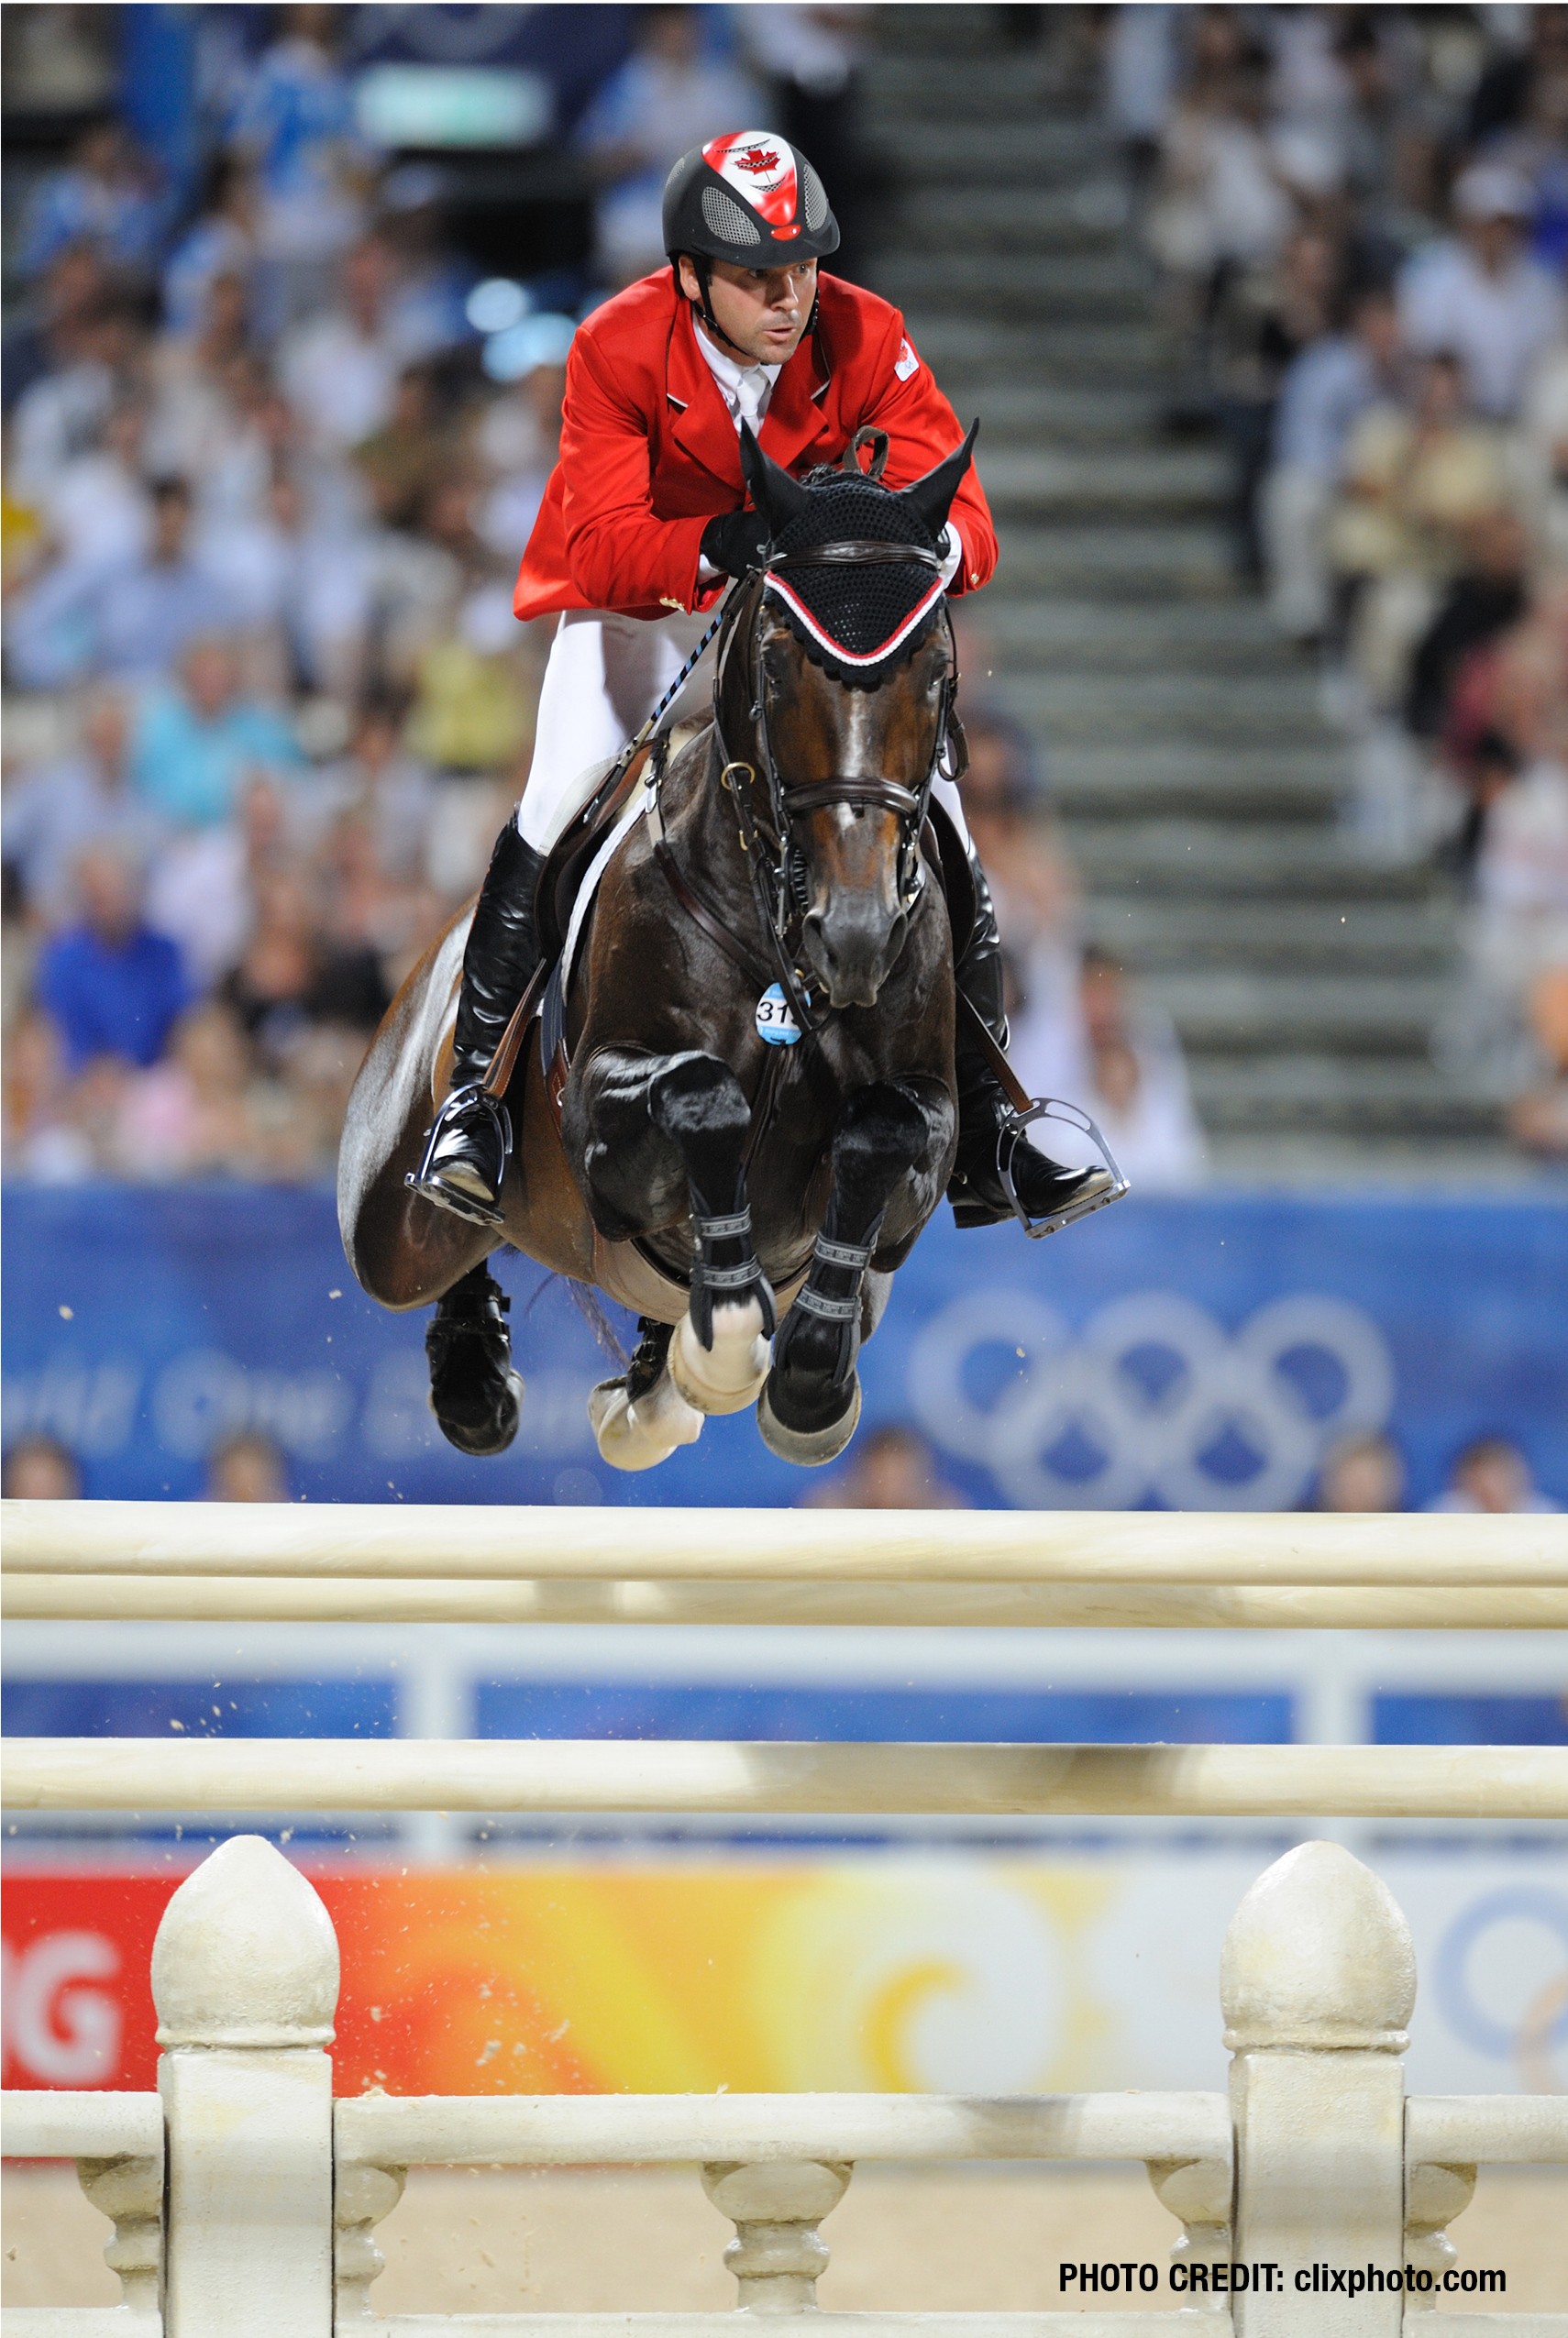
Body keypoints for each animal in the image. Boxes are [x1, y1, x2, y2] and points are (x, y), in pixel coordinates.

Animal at [338, 421, 986, 1468]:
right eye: (776, 665)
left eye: (936, 669)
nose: (855, 935)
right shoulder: (600, 1116)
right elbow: (701, 1094)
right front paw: (726, 1335)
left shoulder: (928, 1127)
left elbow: (882, 1133)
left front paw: (806, 1377)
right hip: (388, 1216)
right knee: (439, 1241)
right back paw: (480, 1357)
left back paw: (650, 1381)